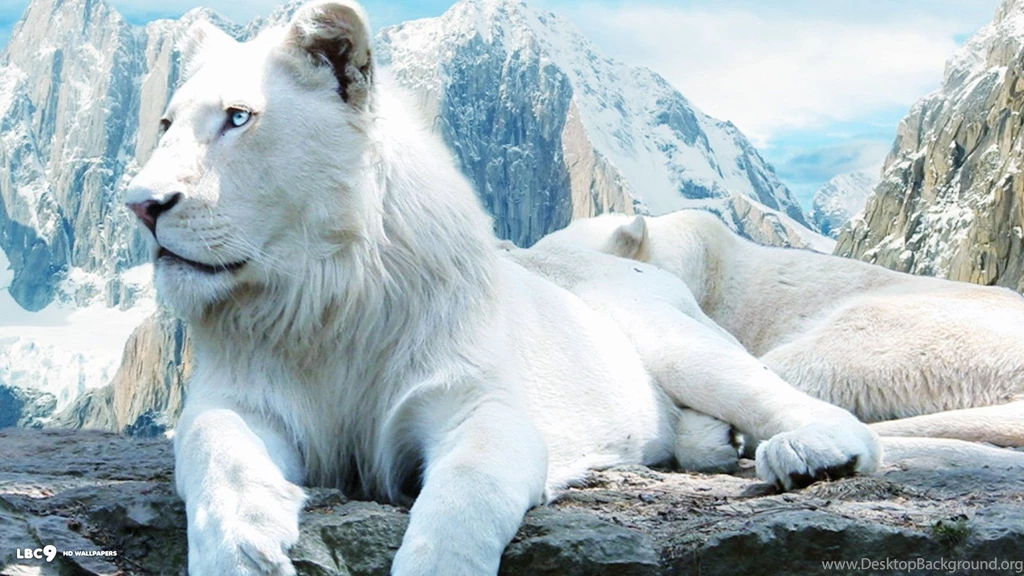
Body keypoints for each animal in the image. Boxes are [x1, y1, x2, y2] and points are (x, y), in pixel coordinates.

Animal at [123, 2, 881, 574]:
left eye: (239, 118)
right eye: (165, 124)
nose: (140, 205)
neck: (323, 296)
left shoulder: (479, 406)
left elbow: (459, 508)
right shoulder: (238, 401)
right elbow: (217, 456)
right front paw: (242, 551)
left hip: (677, 341)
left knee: (803, 407)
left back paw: (808, 455)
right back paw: (715, 443)